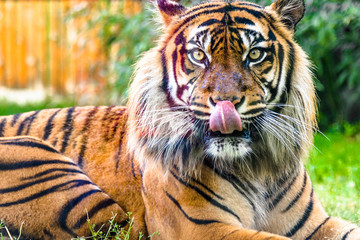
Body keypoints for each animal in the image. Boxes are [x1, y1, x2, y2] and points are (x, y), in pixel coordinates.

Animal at [0, 0, 358, 240]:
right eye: (198, 56)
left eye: (254, 54)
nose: (225, 102)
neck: (254, 166)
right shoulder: (202, 228)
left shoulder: (317, 224)